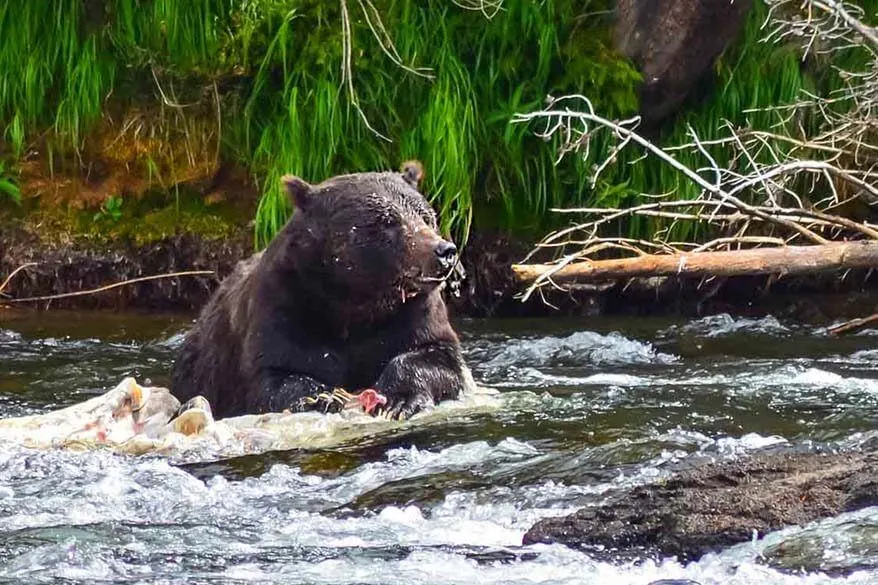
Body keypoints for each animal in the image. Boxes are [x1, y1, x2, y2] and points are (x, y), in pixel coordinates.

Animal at [170, 161, 474, 420]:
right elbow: (276, 373)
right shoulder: (283, 307)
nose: (444, 251)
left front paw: (399, 400)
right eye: (388, 222)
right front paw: (322, 397)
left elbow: (435, 354)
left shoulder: (411, 312)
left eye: (426, 215)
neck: (353, 297)